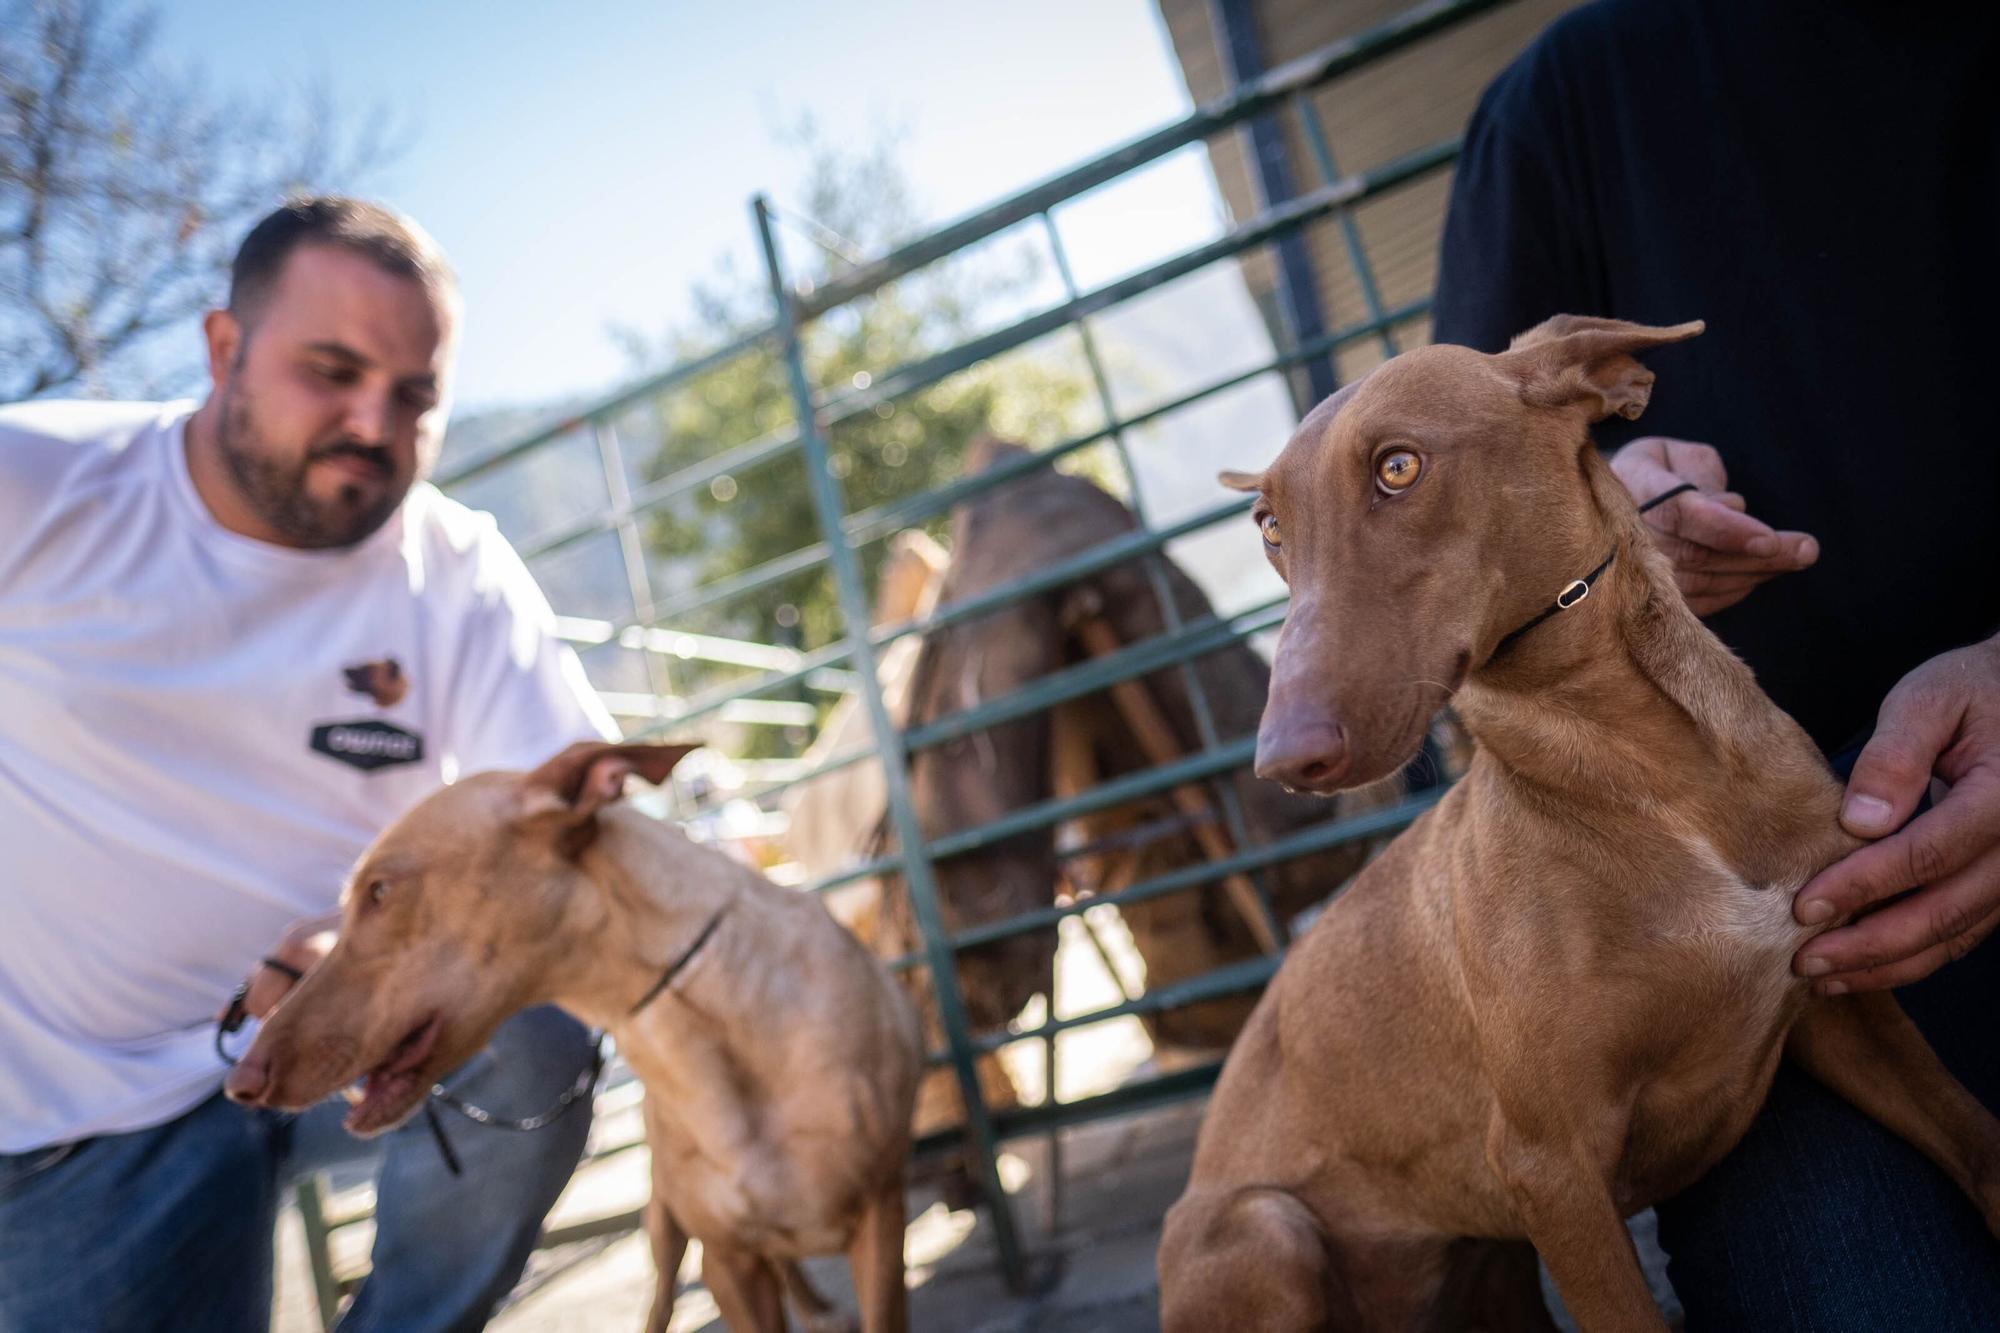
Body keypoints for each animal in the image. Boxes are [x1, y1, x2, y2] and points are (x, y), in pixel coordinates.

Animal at [225, 740, 920, 1320]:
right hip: (664, 1229)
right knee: (663, 1303)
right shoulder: (728, 1262)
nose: (241, 1082)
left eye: (379, 890)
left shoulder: (882, 1222)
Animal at [1160, 316, 2000, 1320]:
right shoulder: (1549, 1167)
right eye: (1273, 527)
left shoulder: (1842, 1000)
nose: (1283, 762)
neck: (1642, 773)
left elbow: (1977, 1141)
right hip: (1268, 1232)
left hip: (1495, 1278)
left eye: (1399, 467)